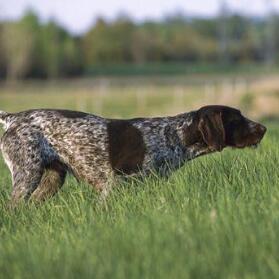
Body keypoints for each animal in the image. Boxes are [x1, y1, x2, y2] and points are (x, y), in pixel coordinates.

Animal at [0, 106, 266, 207]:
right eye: (237, 118)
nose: (264, 128)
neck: (174, 136)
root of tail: (14, 117)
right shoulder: (114, 186)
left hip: (52, 180)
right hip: (28, 175)